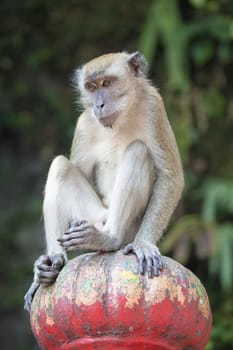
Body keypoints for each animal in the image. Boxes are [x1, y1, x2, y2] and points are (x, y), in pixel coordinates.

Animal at [23, 52, 184, 312]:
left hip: (128, 227)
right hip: (96, 216)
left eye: (107, 83)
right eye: (91, 87)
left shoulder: (154, 107)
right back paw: (54, 263)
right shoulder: (84, 123)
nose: (98, 105)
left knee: (138, 151)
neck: (122, 118)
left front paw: (144, 244)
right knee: (60, 166)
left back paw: (110, 238)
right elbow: (78, 171)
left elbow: (171, 176)